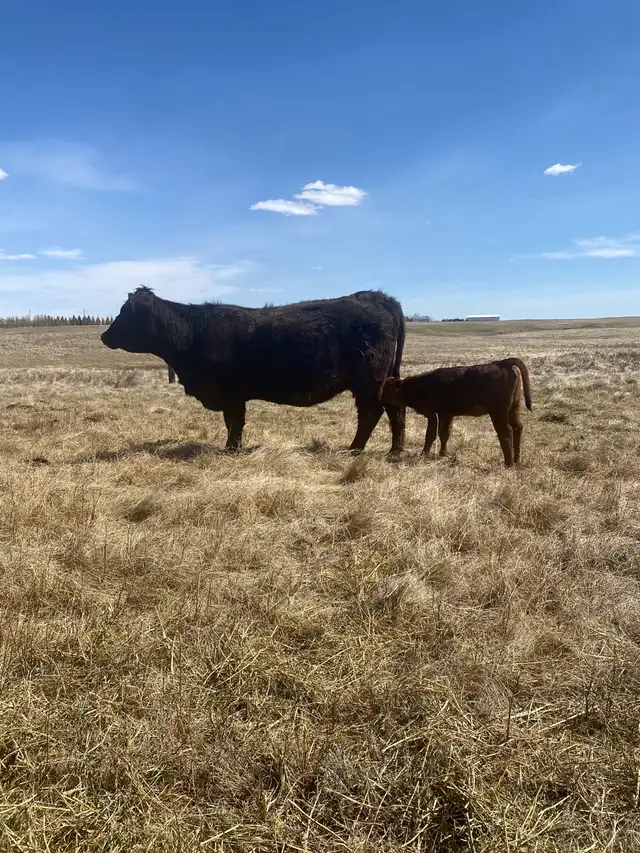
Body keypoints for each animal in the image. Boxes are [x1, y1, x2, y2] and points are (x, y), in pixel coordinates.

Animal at [101, 287, 406, 454]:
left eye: (126, 313)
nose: (104, 336)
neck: (194, 333)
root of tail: (380, 298)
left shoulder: (231, 394)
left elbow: (234, 423)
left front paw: (231, 449)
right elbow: (233, 423)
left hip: (368, 381)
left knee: (371, 413)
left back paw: (354, 449)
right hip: (386, 379)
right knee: (395, 410)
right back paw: (395, 451)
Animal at [380, 357, 532, 467]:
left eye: (387, 386)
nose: (379, 396)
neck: (418, 385)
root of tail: (502, 363)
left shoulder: (432, 414)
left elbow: (430, 435)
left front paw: (424, 454)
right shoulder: (447, 414)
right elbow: (444, 434)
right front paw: (442, 454)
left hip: (498, 412)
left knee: (506, 432)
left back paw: (508, 464)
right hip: (513, 409)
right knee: (518, 428)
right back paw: (517, 460)